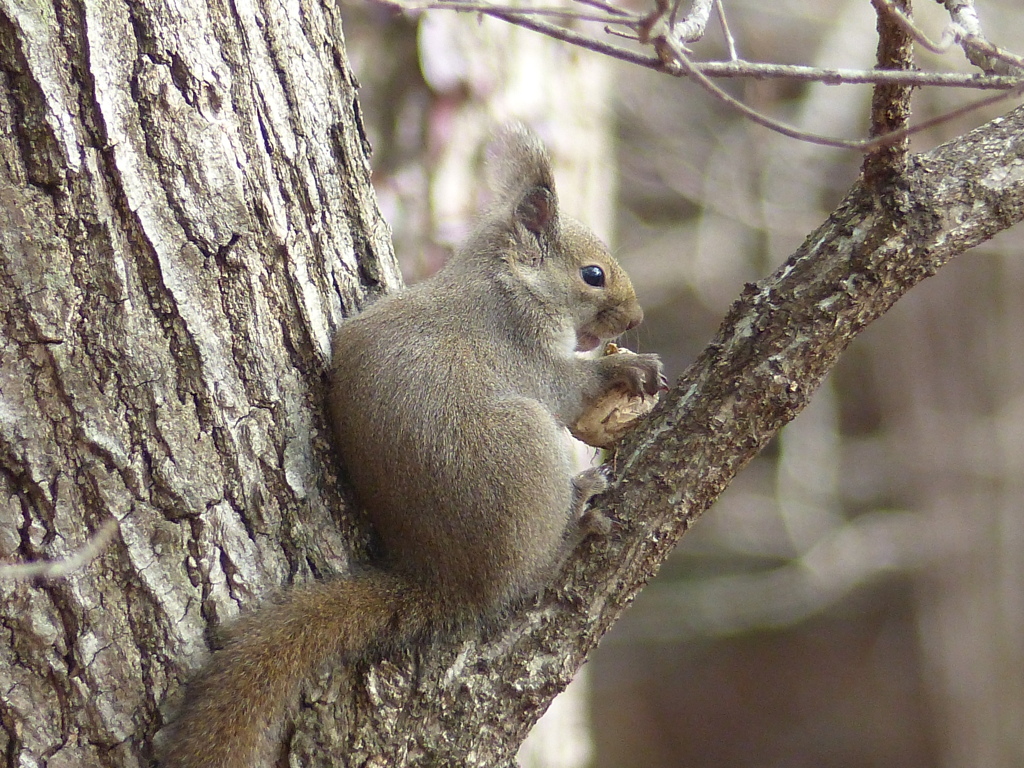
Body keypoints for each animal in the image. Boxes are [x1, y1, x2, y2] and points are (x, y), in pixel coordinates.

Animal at [155, 124, 659, 768]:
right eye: (593, 274)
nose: (636, 317)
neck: (506, 281)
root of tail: (446, 580)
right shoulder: (524, 346)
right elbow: (569, 389)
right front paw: (629, 370)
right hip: (525, 454)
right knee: (526, 578)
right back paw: (575, 522)